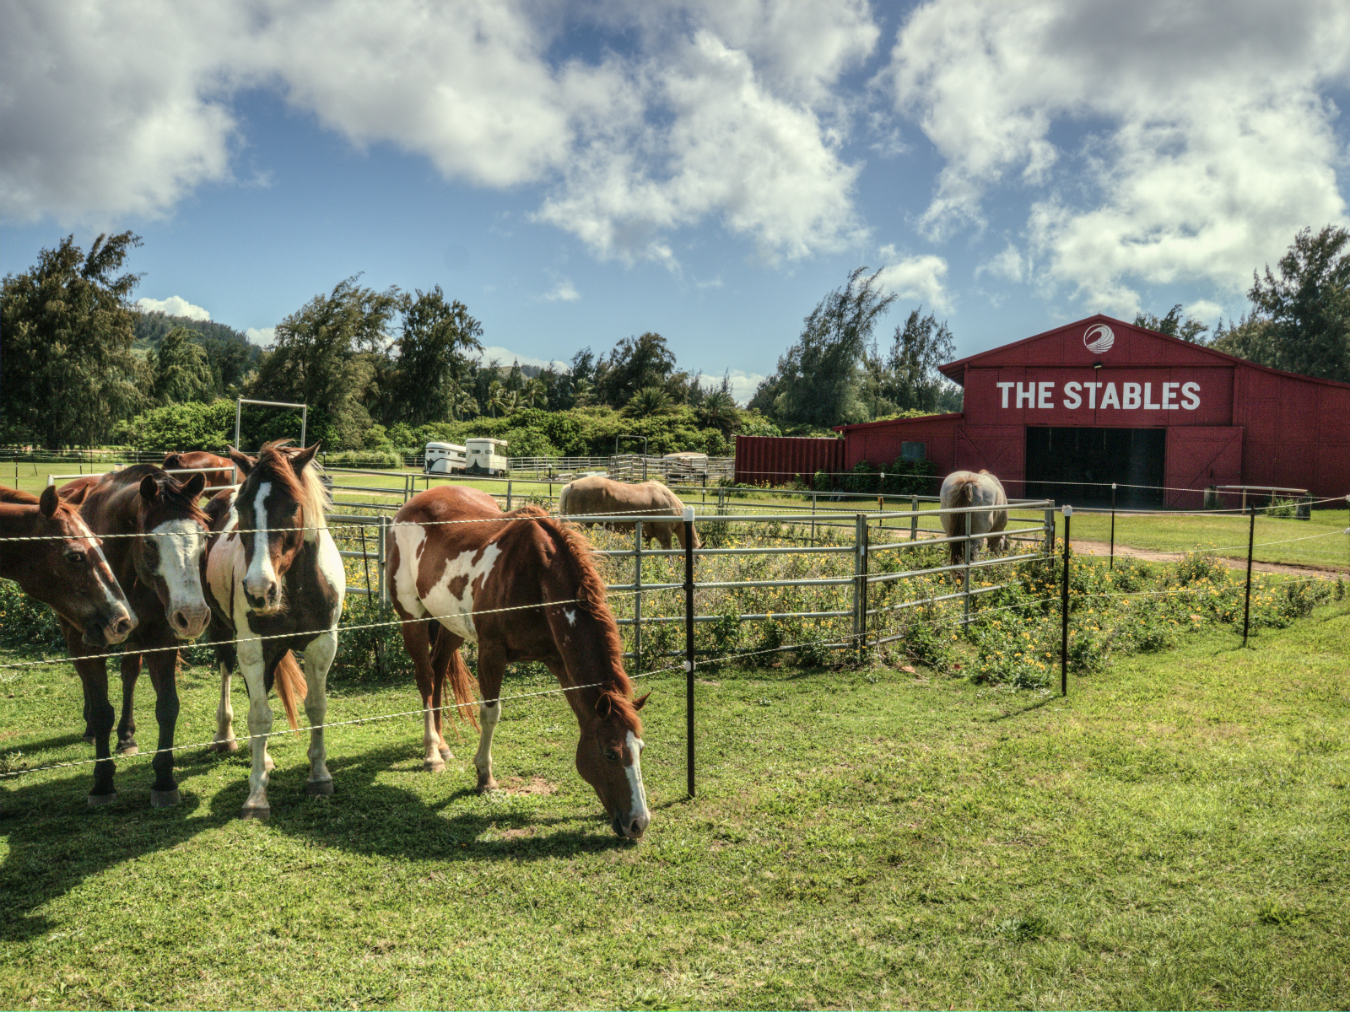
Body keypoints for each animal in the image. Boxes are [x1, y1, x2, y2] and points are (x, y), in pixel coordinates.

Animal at [64, 466, 211, 809]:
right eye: (149, 542)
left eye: (204, 538)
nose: (193, 616)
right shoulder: (84, 644)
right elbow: (102, 710)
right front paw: (102, 783)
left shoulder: (161, 640)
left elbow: (167, 706)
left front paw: (164, 779)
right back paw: (90, 729)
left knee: (129, 674)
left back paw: (126, 736)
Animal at [203, 439, 345, 820]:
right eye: (241, 507)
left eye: (294, 505)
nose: (258, 590)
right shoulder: (253, 647)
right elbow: (259, 718)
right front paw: (256, 796)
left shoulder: (322, 644)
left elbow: (316, 706)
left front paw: (319, 776)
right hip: (226, 635)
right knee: (228, 674)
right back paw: (226, 737)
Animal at [388, 483, 650, 841]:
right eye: (610, 753)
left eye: (640, 749)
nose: (639, 823)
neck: (538, 577)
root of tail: (410, 506)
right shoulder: (491, 654)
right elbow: (490, 714)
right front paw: (485, 776)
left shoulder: (558, 660)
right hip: (411, 618)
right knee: (425, 677)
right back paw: (431, 753)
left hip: (451, 624)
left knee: (439, 668)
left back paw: (442, 745)